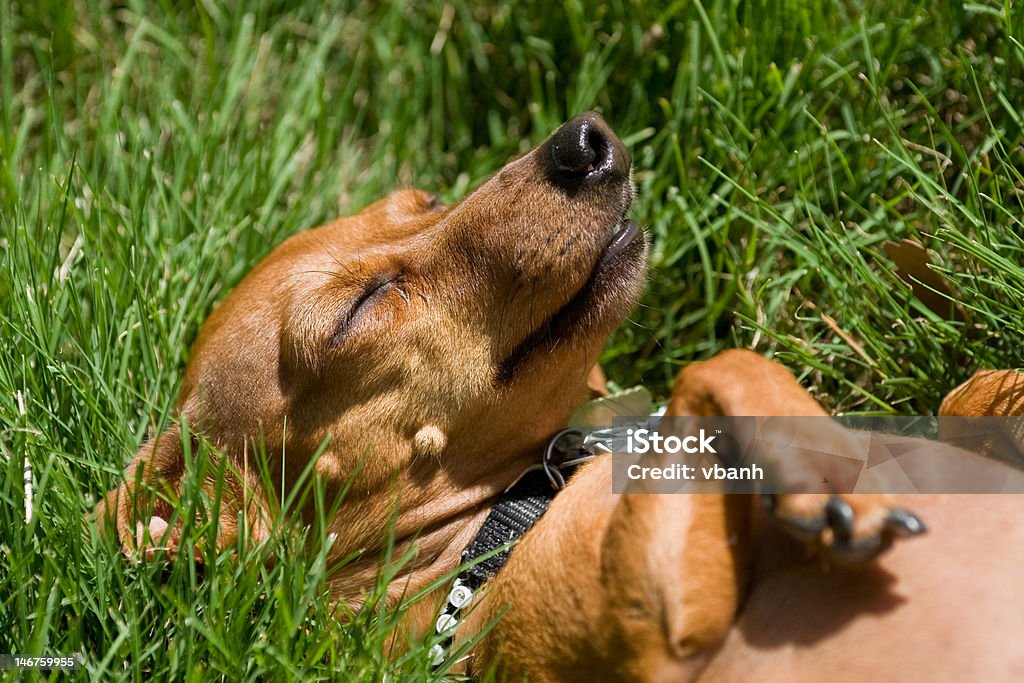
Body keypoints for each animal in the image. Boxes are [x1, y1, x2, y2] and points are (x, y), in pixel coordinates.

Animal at [96, 114, 1024, 679]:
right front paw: (829, 477)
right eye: (356, 311)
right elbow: (718, 365)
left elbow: (975, 389)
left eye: (430, 200)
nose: (584, 139)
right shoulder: (659, 623)